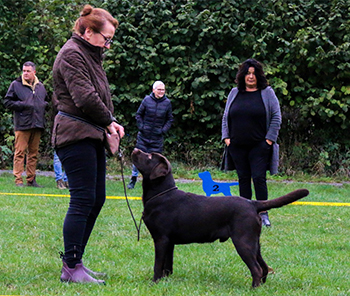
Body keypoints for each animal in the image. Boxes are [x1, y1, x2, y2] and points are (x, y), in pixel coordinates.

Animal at [132, 149, 308, 288]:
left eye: (149, 157)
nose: (135, 149)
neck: (161, 194)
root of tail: (252, 203)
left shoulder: (161, 239)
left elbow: (157, 265)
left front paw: (154, 283)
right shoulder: (170, 241)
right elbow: (167, 266)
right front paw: (165, 281)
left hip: (243, 242)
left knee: (257, 269)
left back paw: (253, 289)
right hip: (254, 243)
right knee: (264, 267)